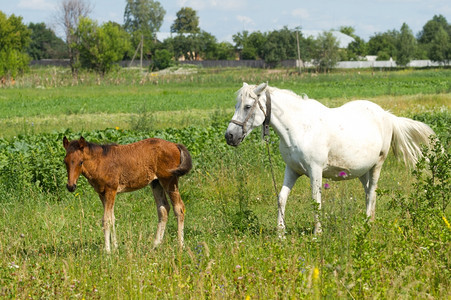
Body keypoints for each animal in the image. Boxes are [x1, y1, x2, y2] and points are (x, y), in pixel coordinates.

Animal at [62, 137, 192, 253]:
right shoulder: (102, 193)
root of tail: (175, 144)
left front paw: (107, 251)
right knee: (163, 209)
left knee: (179, 208)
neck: (100, 162)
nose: (70, 186)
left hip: (170, 180)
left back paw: (180, 245)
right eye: (65, 161)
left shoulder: (111, 190)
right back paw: (155, 245)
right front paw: (115, 247)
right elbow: (112, 218)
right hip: (156, 183)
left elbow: (106, 219)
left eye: (80, 162)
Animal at [224, 82, 436, 234]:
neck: (299, 128)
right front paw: (280, 233)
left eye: (247, 106)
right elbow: (282, 198)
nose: (230, 136)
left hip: (377, 165)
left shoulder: (315, 170)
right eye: (236, 105)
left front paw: (317, 234)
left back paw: (367, 224)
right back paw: (370, 221)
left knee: (372, 192)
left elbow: (316, 201)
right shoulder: (292, 170)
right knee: (370, 193)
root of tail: (386, 114)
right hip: (363, 171)